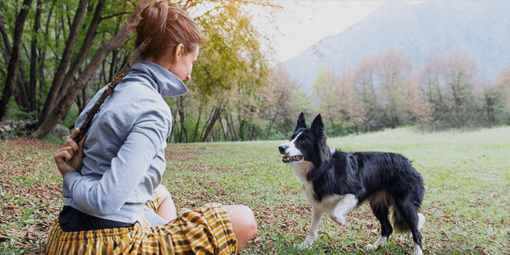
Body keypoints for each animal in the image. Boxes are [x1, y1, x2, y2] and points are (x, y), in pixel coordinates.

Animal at [278, 113, 426, 255]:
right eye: (291, 138)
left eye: (303, 141)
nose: (281, 147)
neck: (324, 167)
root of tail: (409, 164)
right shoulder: (318, 203)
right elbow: (312, 229)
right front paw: (305, 245)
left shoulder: (356, 192)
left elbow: (334, 213)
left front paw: (343, 222)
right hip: (378, 204)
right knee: (388, 228)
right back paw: (375, 247)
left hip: (404, 203)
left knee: (416, 231)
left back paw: (417, 252)